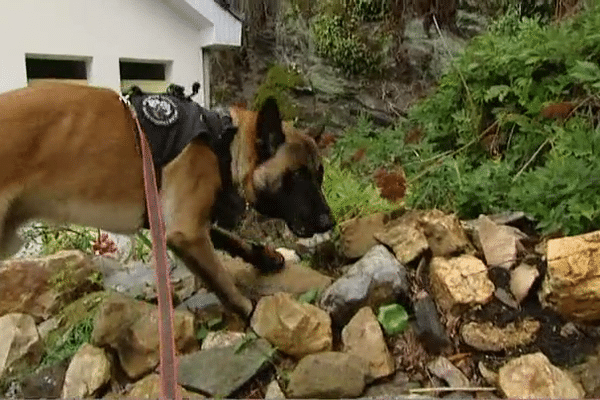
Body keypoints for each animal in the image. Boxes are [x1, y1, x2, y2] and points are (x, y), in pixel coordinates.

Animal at [0, 83, 336, 320]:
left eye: (320, 175)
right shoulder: (186, 232)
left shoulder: (178, 223)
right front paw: (251, 312)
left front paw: (264, 257)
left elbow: (229, 238)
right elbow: (222, 281)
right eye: (298, 176)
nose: (329, 222)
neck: (222, 142)